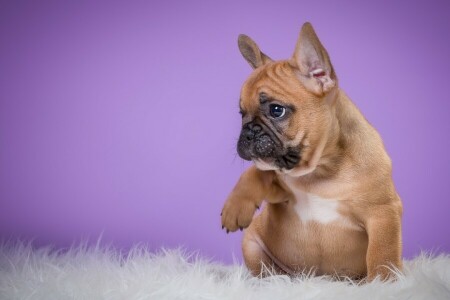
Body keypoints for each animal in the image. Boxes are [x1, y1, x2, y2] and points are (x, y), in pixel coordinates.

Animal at [220, 21, 402, 282]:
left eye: (276, 110)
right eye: (241, 113)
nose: (247, 133)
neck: (322, 169)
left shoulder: (383, 212)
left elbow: (383, 254)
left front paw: (384, 282)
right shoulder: (280, 194)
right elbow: (256, 172)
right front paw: (236, 207)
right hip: (251, 245)